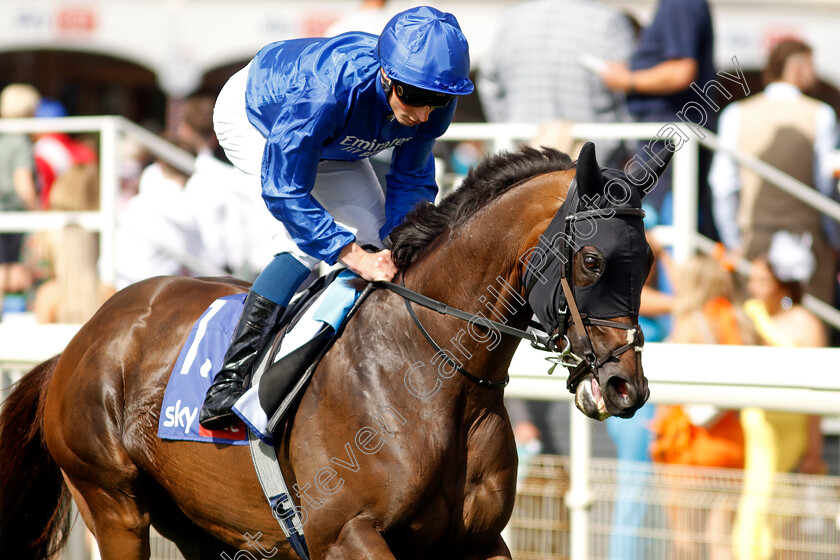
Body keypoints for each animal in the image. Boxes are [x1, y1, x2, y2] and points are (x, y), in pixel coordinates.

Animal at [0, 141, 668, 560]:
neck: (429, 374)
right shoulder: (344, 533)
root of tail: (80, 341)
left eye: (648, 263)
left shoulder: (477, 540)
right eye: (593, 260)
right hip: (113, 502)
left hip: (203, 524)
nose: (625, 387)